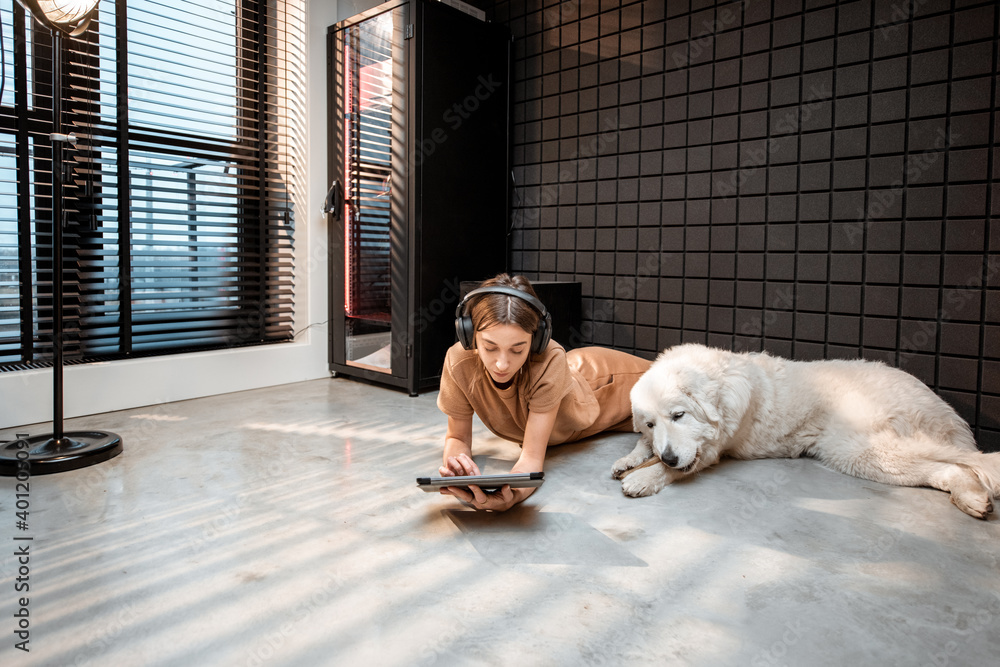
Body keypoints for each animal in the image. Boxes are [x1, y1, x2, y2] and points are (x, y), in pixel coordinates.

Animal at [608, 344, 1000, 520]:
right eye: (651, 423)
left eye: (679, 415)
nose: (671, 455)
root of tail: (933, 399)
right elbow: (643, 446)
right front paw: (629, 460)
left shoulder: (711, 450)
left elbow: (675, 471)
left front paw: (645, 477)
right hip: (858, 455)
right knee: (947, 468)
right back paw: (971, 498)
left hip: (863, 446)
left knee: (965, 461)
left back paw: (972, 493)